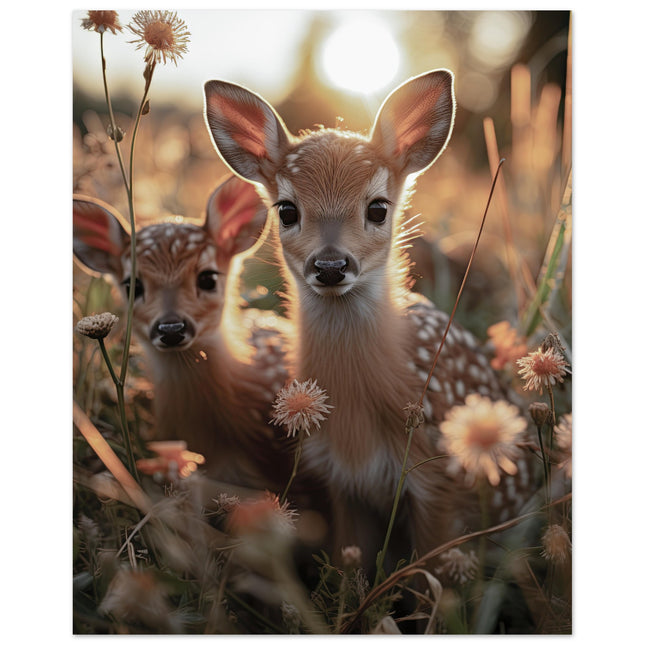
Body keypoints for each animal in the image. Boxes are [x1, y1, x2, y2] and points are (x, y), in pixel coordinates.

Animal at [202, 70, 536, 574]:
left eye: (378, 207)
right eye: (287, 210)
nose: (331, 265)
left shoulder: (440, 479)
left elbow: (429, 573)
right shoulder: (339, 479)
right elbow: (349, 561)